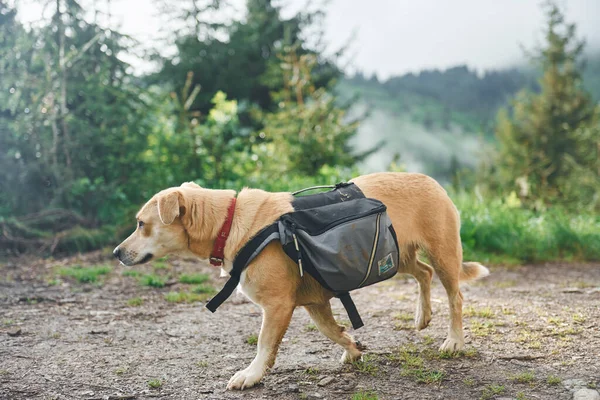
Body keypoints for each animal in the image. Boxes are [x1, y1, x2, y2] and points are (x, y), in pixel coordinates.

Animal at [112, 173, 488, 390]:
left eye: (142, 224)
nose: (116, 252)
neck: (229, 223)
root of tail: (431, 179)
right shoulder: (314, 302)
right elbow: (331, 331)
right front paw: (353, 348)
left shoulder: (278, 306)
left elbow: (264, 345)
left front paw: (251, 375)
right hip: (396, 257)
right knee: (423, 274)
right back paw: (422, 316)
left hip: (442, 254)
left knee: (455, 296)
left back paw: (454, 340)